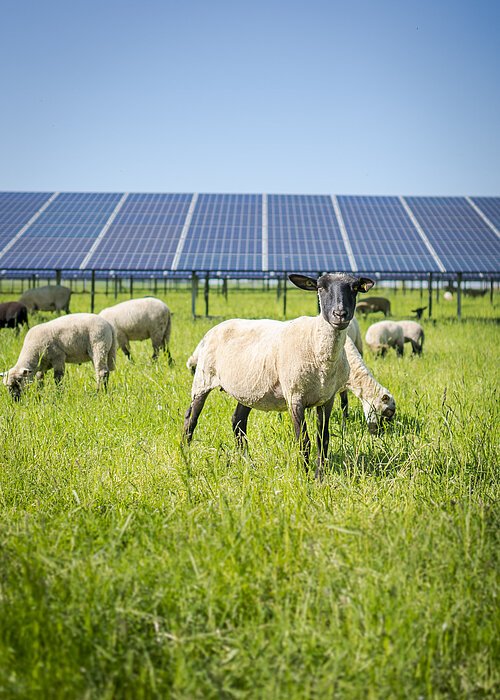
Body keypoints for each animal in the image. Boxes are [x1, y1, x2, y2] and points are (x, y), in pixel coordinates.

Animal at [184, 270, 376, 478]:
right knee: (190, 420)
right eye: (321, 287)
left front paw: (319, 476)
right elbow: (304, 441)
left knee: (238, 422)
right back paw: (186, 458)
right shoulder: (295, 397)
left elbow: (323, 440)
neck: (316, 345)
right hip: (203, 379)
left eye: (355, 288)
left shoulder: (327, 399)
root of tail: (214, 328)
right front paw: (305, 476)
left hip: (248, 390)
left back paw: (248, 463)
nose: (340, 314)